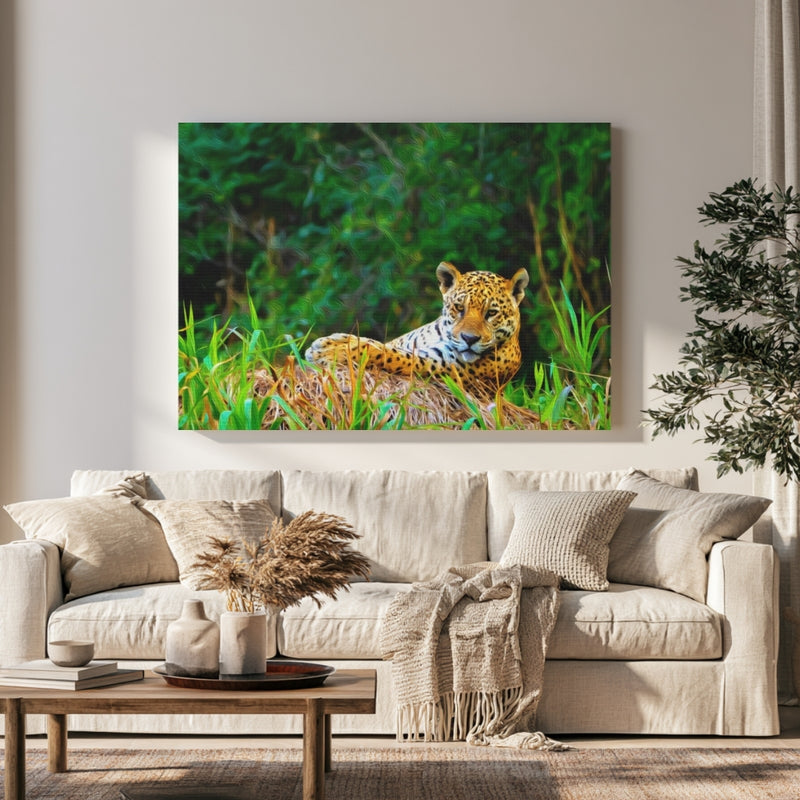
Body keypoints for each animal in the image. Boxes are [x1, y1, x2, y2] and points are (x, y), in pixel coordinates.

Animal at [305, 261, 530, 387]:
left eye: (491, 313)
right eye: (459, 308)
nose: (469, 339)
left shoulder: (438, 363)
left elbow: (386, 353)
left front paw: (328, 351)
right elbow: (379, 344)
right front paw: (336, 342)